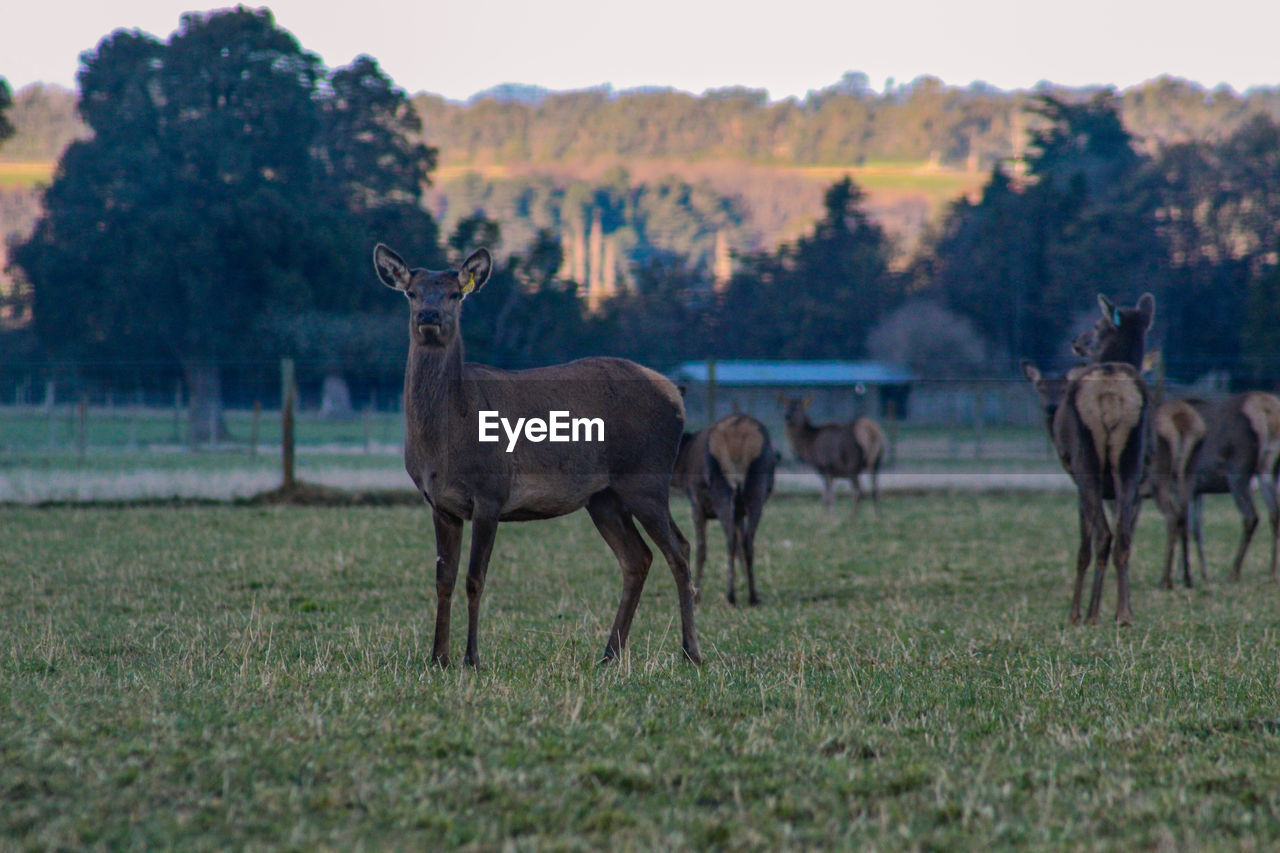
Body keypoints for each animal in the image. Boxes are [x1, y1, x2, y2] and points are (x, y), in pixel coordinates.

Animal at [373, 239, 706, 666]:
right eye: (411, 292)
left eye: (455, 294)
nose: (428, 316)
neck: (445, 442)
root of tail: (675, 394)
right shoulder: (440, 504)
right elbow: (442, 579)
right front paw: (437, 658)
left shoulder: (491, 493)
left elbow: (474, 579)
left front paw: (472, 658)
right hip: (603, 496)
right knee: (637, 558)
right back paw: (609, 654)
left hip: (647, 476)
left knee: (679, 549)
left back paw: (690, 652)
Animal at [670, 412, 778, 604]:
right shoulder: (739, 513)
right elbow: (742, 549)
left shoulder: (696, 501)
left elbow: (700, 548)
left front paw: (697, 596)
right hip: (757, 488)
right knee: (748, 541)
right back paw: (753, 596)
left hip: (721, 488)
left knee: (730, 540)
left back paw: (730, 595)